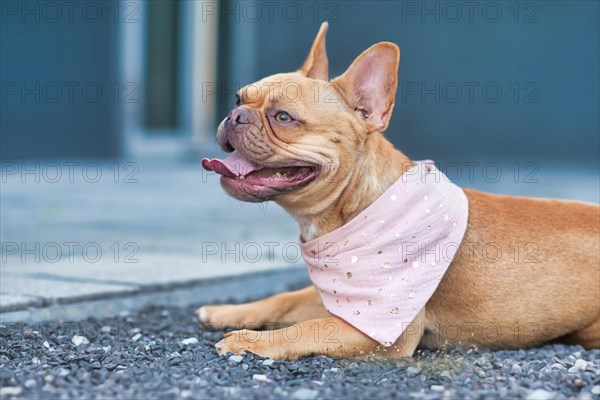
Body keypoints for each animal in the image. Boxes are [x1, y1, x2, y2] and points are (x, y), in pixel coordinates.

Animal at [198, 21, 600, 360]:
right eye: (238, 99)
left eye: (284, 117)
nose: (236, 116)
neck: (356, 206)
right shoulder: (340, 300)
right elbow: (284, 298)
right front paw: (227, 311)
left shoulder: (376, 325)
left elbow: (308, 328)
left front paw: (251, 340)